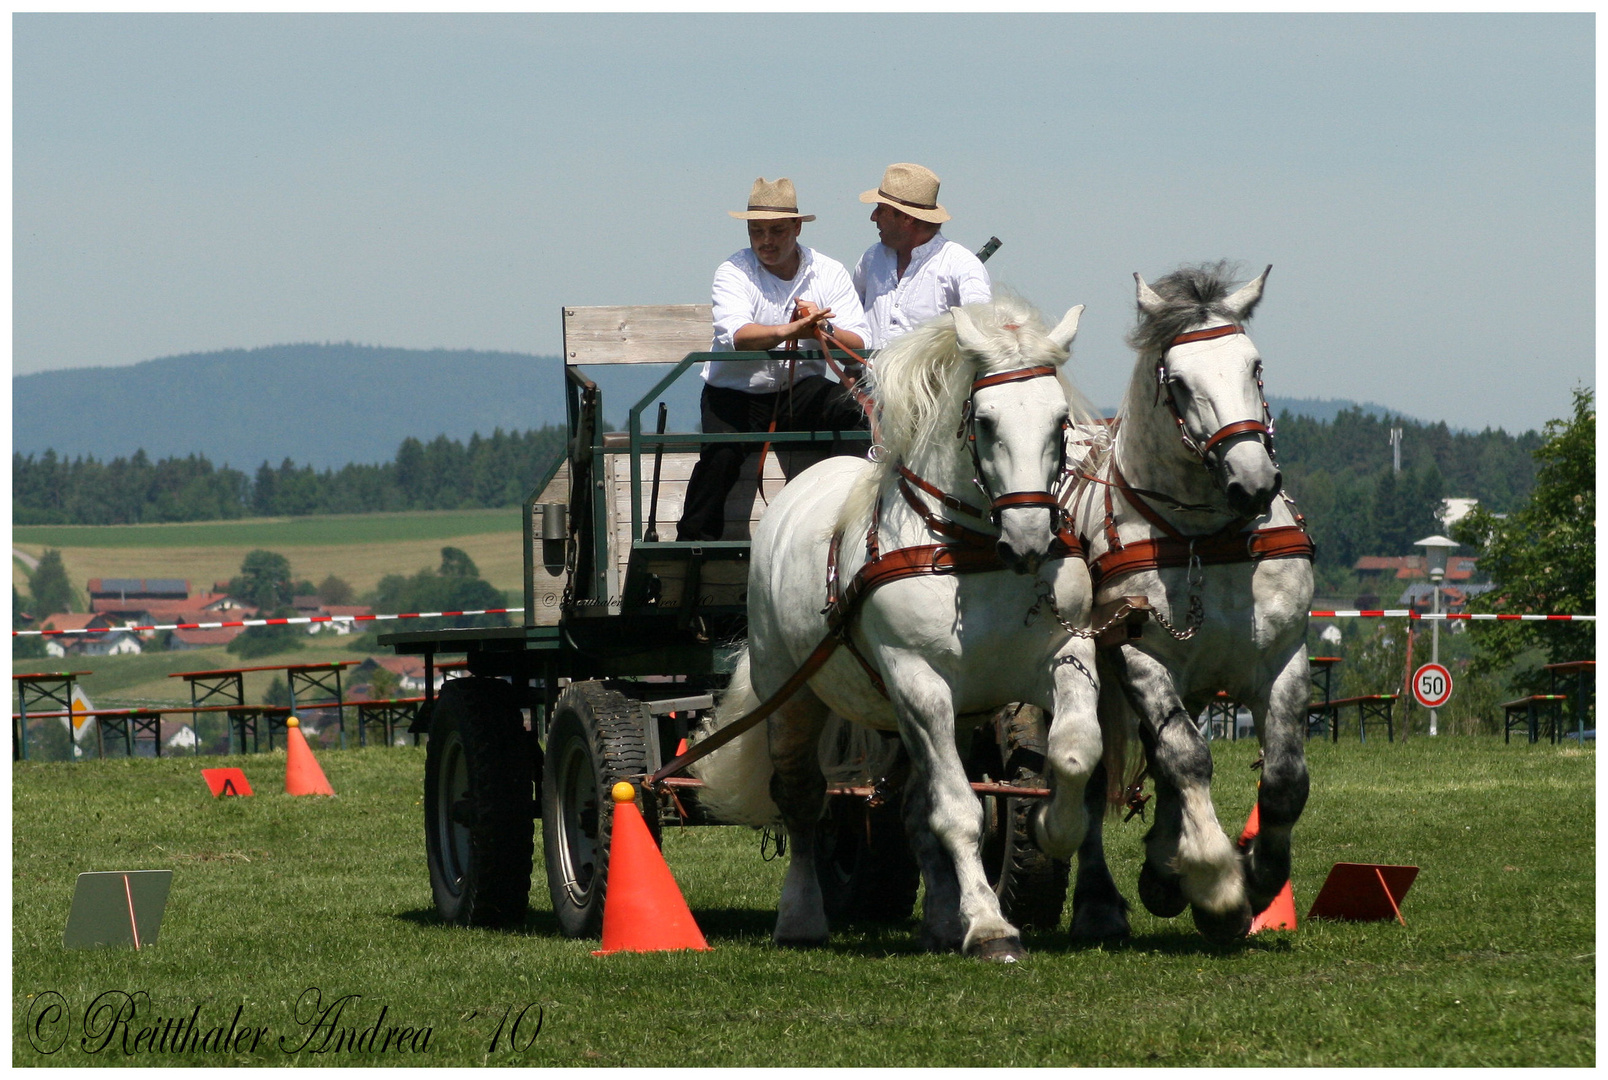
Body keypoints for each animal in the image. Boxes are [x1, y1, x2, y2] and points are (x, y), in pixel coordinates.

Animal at [691, 297, 1106, 964]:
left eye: (1060, 420)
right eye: (985, 420)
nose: (1030, 540)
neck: (971, 553)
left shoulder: (1060, 657)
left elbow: (1073, 752)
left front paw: (1053, 829)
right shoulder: (918, 683)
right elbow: (959, 810)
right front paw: (989, 928)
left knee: (914, 811)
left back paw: (938, 922)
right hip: (794, 693)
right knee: (801, 799)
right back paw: (801, 916)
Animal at [1067, 258, 1305, 938]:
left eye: (1255, 365)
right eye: (1176, 381)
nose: (1254, 481)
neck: (1206, 539)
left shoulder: (1282, 657)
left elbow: (1284, 776)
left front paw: (1258, 878)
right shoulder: (1140, 656)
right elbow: (1187, 758)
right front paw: (1217, 883)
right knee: (1093, 780)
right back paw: (1101, 901)